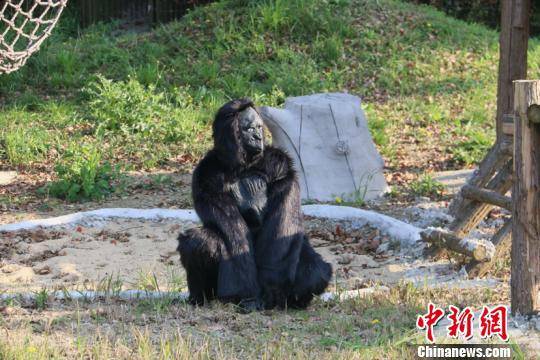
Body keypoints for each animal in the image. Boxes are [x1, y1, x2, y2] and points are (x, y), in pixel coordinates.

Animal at [177, 98, 332, 312]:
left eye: (259, 127)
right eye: (249, 128)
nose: (258, 137)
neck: (243, 166)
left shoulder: (282, 168)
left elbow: (281, 228)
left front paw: (273, 290)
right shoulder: (205, 177)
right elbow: (233, 231)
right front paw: (247, 296)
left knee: (315, 270)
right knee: (197, 241)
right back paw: (200, 300)